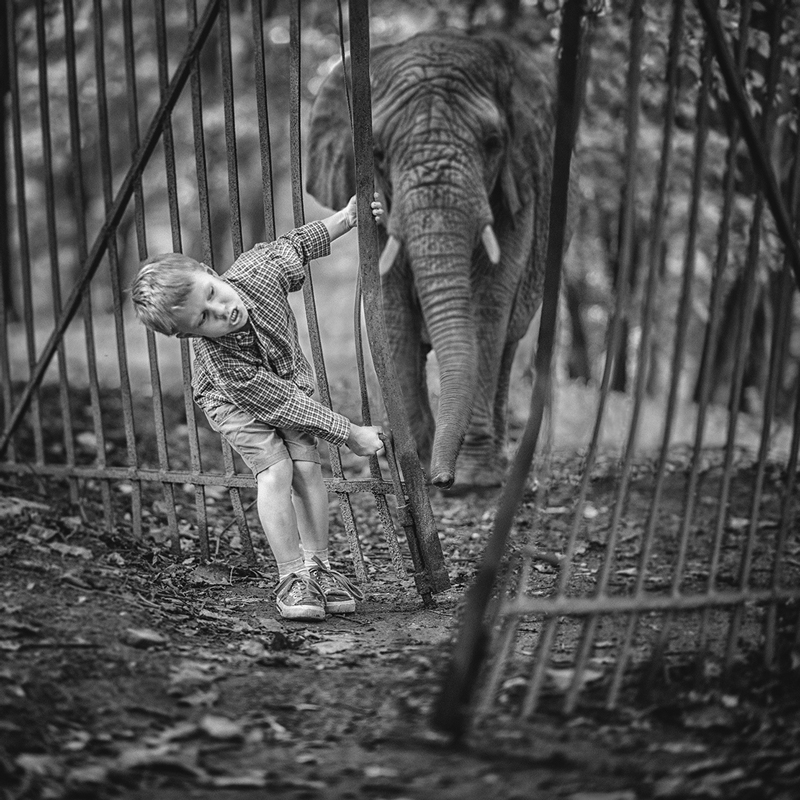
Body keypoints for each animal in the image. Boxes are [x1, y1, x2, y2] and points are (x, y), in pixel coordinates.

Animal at [306, 28, 568, 490]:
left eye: (494, 144)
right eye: (377, 153)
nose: (442, 480)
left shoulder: (517, 195)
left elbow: (486, 308)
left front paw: (474, 479)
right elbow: (391, 312)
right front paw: (414, 463)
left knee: (506, 344)